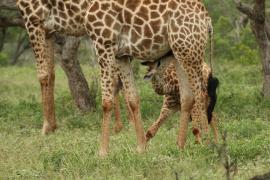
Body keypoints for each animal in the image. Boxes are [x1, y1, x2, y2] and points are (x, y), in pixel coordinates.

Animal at [15, 0, 130, 135]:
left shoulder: (33, 19)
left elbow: (43, 75)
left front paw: (45, 127)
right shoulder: (48, 30)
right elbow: (51, 75)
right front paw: (52, 126)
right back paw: (123, 125)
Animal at [85, 0, 213, 155]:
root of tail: (207, 19)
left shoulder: (104, 44)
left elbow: (106, 102)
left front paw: (102, 153)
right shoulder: (121, 55)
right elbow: (133, 98)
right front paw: (141, 148)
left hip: (190, 50)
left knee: (201, 94)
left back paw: (207, 143)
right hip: (179, 52)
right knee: (188, 97)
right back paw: (180, 146)